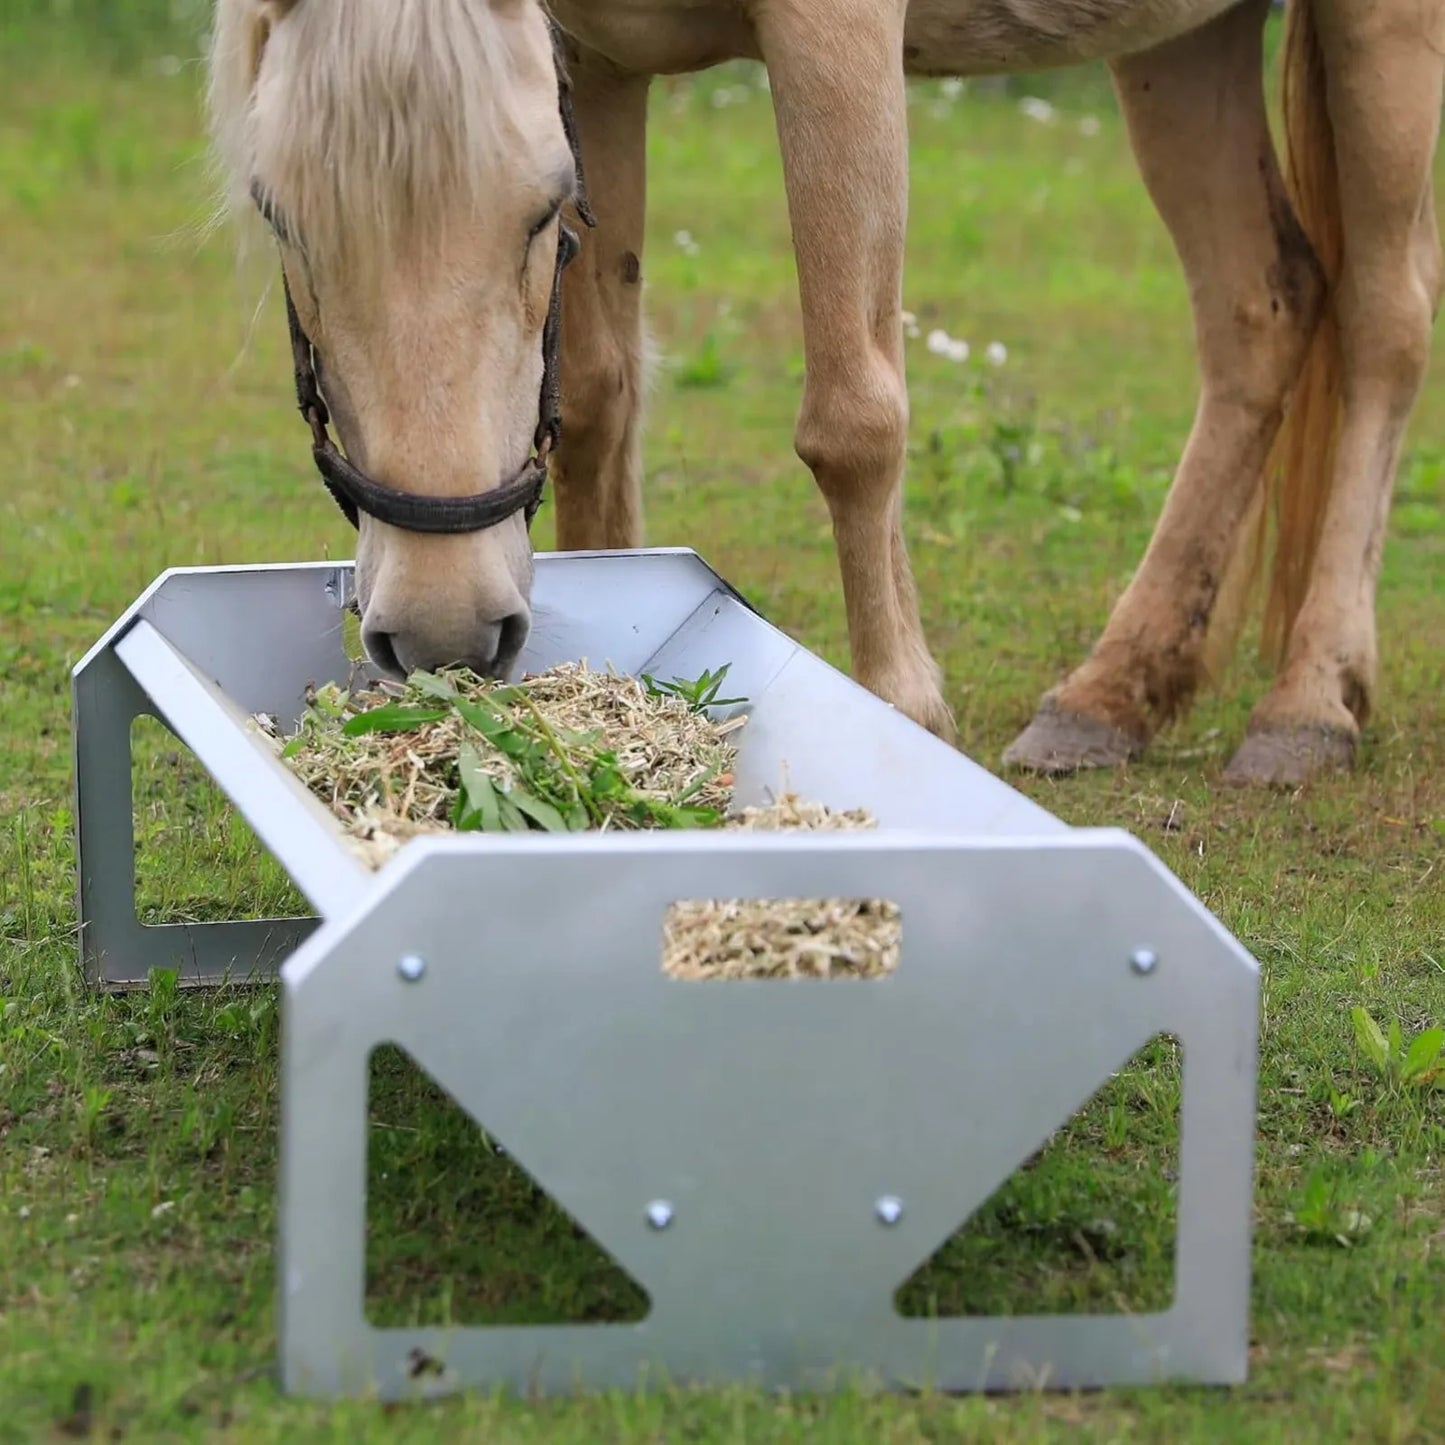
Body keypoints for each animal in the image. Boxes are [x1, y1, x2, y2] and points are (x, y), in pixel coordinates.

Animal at [206, 2, 1445, 791]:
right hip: (1183, 48)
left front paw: (902, 711)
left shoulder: (832, 36)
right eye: (279, 219)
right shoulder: (593, 63)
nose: (443, 628)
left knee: (1383, 322)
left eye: (540, 210)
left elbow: (852, 419)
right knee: (1259, 311)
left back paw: (1308, 702)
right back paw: (1111, 692)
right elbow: (602, 401)